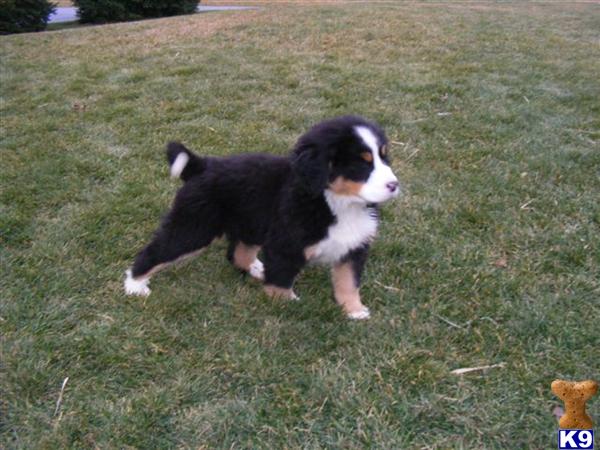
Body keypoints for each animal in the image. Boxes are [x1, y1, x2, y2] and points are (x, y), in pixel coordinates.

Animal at [123, 116, 398, 320]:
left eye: (384, 156)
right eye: (362, 163)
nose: (394, 185)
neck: (337, 202)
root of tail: (202, 165)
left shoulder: (354, 246)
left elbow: (348, 282)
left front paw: (355, 311)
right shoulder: (286, 244)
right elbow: (282, 280)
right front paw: (287, 304)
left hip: (250, 223)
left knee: (237, 254)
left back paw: (256, 268)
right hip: (193, 227)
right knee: (157, 251)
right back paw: (135, 285)